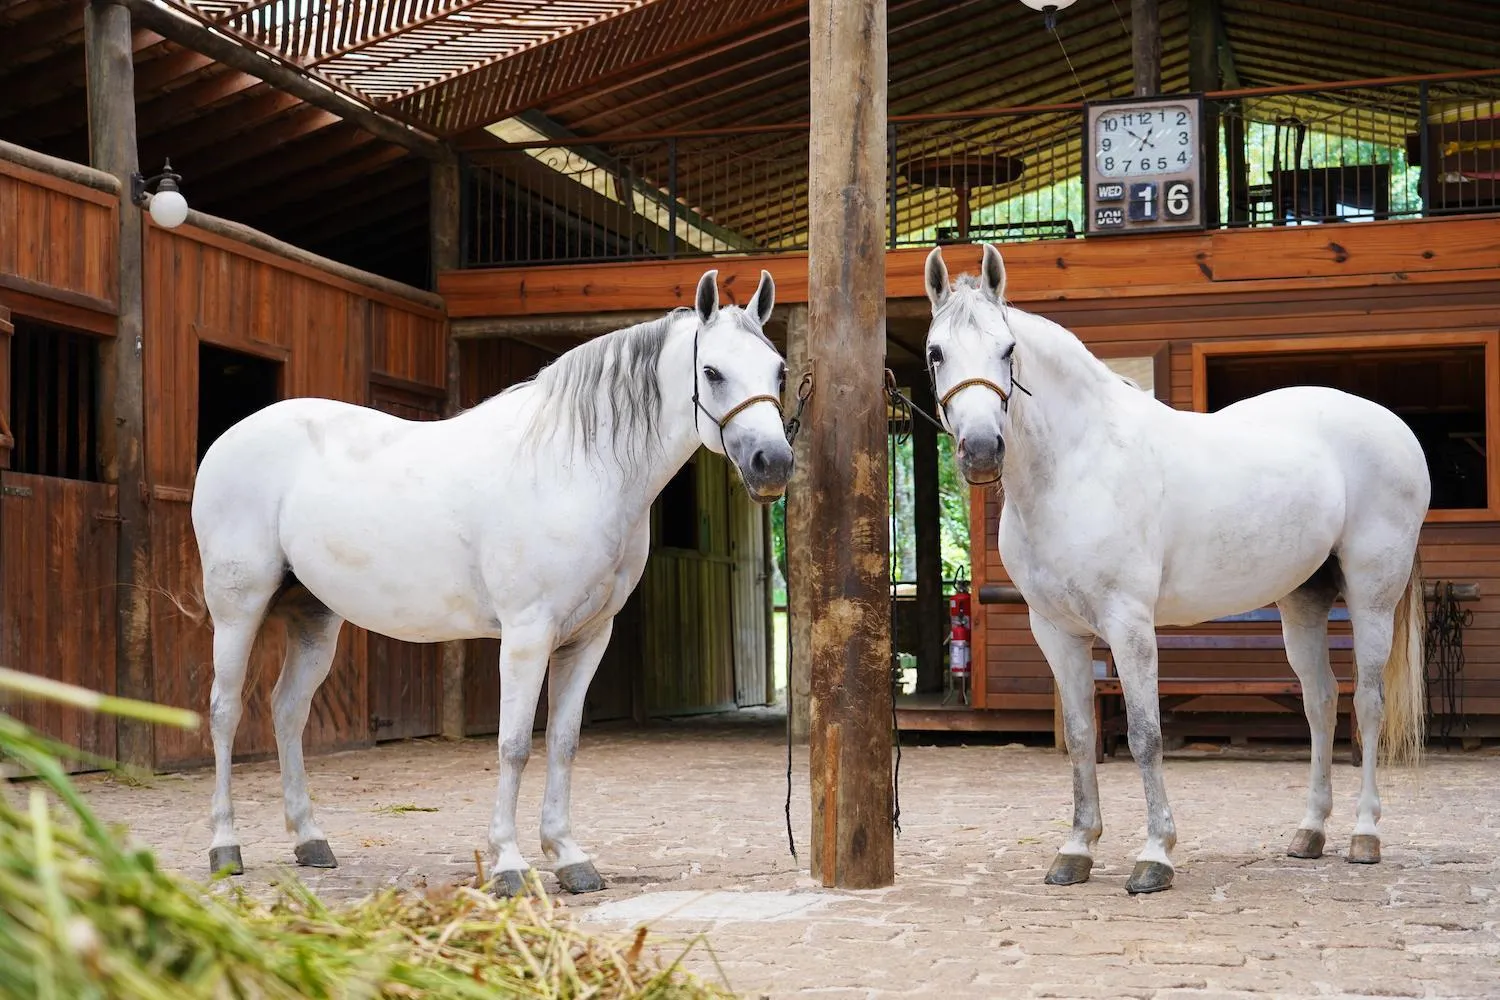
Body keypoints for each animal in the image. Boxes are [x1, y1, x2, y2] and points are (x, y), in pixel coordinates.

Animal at [191, 268, 793, 896]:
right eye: (712, 372)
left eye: (779, 370)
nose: (771, 464)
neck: (574, 470)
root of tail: (231, 438)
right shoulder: (527, 635)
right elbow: (513, 746)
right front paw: (509, 864)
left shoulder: (589, 637)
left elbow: (563, 742)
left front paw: (569, 857)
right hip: (237, 608)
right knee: (225, 711)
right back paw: (225, 847)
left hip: (314, 616)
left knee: (287, 710)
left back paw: (309, 840)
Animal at [921, 243, 1429, 895]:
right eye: (937, 352)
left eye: (1008, 349)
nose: (982, 450)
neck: (1078, 465)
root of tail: (1395, 427)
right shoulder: (1055, 631)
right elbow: (1082, 736)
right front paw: (1076, 849)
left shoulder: (1129, 624)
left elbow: (1145, 734)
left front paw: (1155, 855)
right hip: (1302, 600)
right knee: (1320, 701)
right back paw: (1310, 832)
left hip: (1371, 596)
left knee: (1366, 703)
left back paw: (1365, 836)